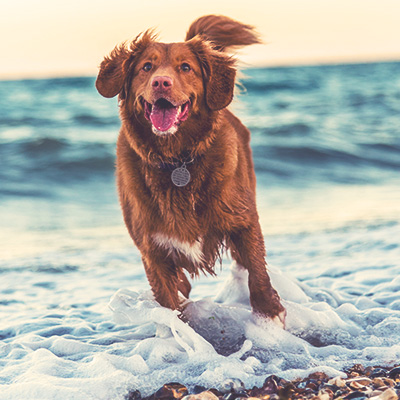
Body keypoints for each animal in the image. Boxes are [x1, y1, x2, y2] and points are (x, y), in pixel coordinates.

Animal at [95, 14, 286, 328]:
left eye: (185, 67)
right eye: (146, 67)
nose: (161, 82)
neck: (177, 160)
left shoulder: (243, 220)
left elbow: (257, 271)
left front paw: (269, 314)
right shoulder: (152, 250)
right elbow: (169, 301)